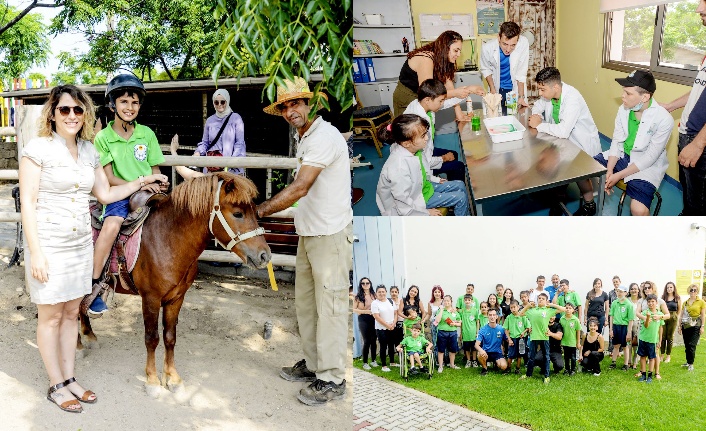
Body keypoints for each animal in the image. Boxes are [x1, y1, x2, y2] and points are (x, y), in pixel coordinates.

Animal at [77, 172, 270, 398]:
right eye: (238, 213)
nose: (265, 256)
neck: (167, 239)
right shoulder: (151, 299)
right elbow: (152, 338)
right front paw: (152, 381)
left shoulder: (176, 298)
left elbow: (170, 337)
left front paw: (173, 379)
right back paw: (78, 347)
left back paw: (89, 336)